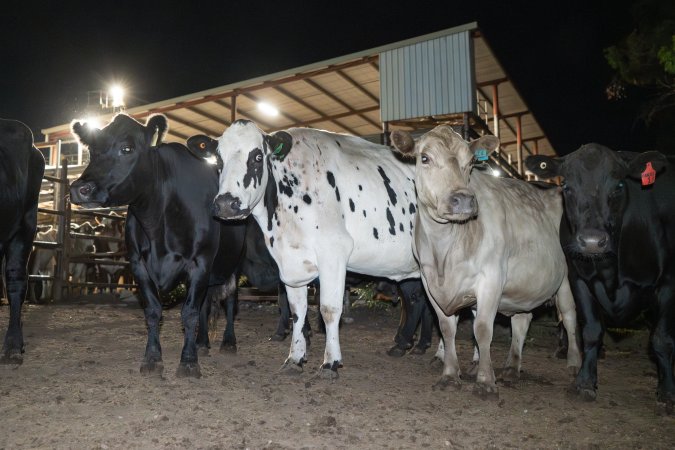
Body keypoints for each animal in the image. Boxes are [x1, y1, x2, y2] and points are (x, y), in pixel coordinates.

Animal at [68, 114, 247, 378]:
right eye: (91, 150)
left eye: (127, 148)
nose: (80, 189)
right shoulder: (138, 265)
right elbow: (154, 311)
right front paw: (152, 358)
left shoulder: (201, 262)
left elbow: (189, 312)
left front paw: (188, 361)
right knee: (206, 305)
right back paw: (202, 343)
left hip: (236, 262)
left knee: (231, 300)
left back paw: (228, 343)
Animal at [528, 144, 675, 414]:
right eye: (566, 186)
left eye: (619, 185)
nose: (592, 241)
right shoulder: (578, 278)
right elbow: (591, 331)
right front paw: (585, 382)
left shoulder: (669, 282)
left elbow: (662, 339)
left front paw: (668, 392)